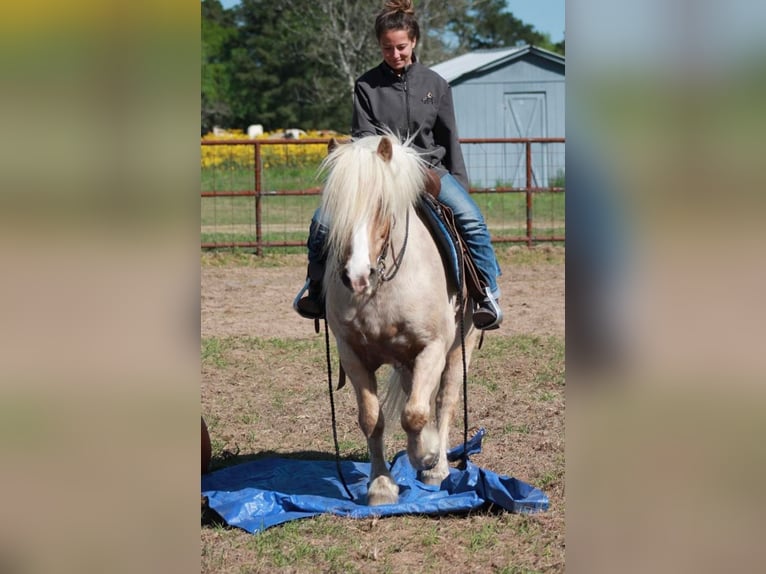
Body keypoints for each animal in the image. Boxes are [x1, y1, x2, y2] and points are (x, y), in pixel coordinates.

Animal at [320, 136, 484, 508]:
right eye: (336, 209)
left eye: (382, 203)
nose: (357, 276)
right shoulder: (351, 353)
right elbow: (372, 419)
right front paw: (381, 486)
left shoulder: (433, 348)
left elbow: (416, 413)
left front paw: (427, 456)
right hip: (407, 360)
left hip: (460, 347)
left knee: (443, 401)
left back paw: (437, 467)